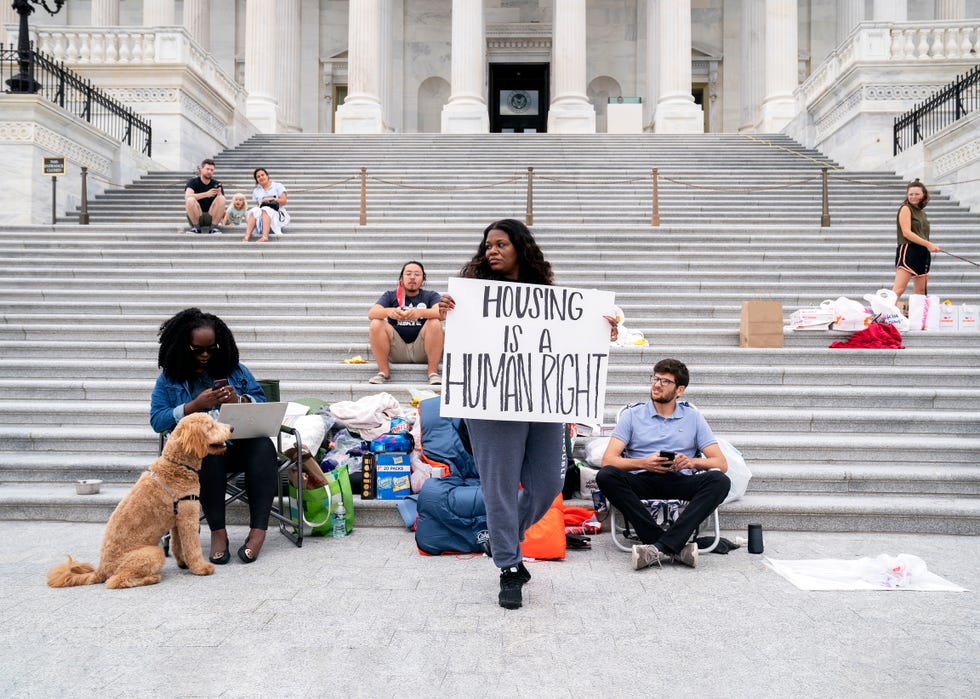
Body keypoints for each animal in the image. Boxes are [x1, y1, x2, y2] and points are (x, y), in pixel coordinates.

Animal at [48, 416, 234, 592]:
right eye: (211, 426)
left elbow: (177, 545)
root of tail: (101, 569)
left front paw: (183, 563)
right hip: (151, 553)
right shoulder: (188, 518)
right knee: (115, 581)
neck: (177, 465)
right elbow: (192, 547)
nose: (232, 428)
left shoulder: (177, 519)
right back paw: (151, 578)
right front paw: (200, 568)